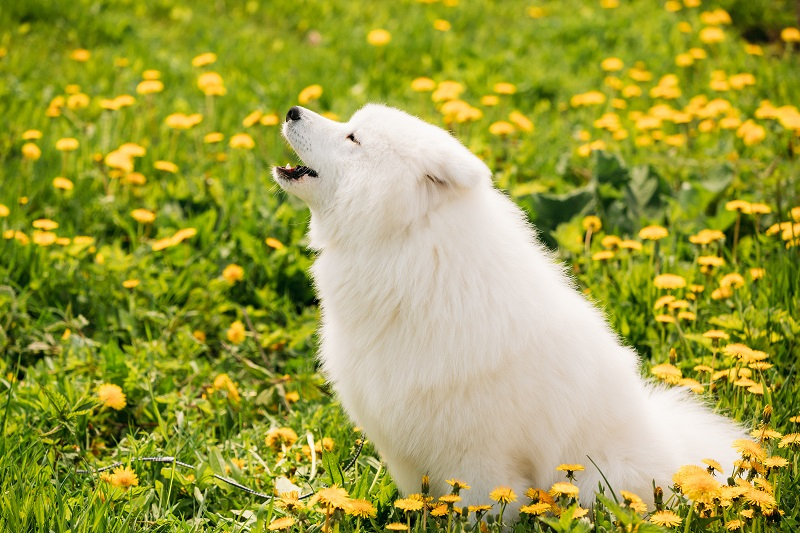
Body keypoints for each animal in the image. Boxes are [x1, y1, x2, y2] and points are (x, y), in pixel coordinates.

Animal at [272, 104, 748, 516]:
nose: (292, 111)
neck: (409, 252)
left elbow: (481, 509)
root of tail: (672, 452)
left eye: (353, 137)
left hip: (596, 477)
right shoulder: (406, 449)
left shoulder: (481, 456)